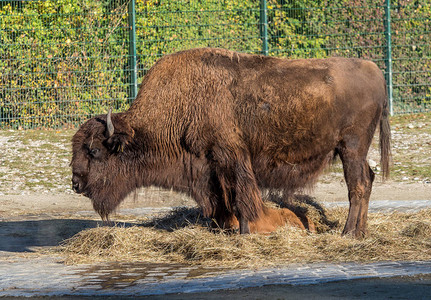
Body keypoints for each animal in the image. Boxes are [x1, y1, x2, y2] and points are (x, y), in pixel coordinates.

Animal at [71, 48, 392, 238]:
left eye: (94, 150)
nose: (75, 182)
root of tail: (375, 72)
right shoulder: (210, 166)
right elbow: (223, 199)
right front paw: (223, 226)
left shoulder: (230, 156)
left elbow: (240, 196)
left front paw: (245, 231)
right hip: (355, 151)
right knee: (368, 179)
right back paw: (361, 232)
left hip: (351, 147)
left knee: (357, 186)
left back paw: (349, 233)